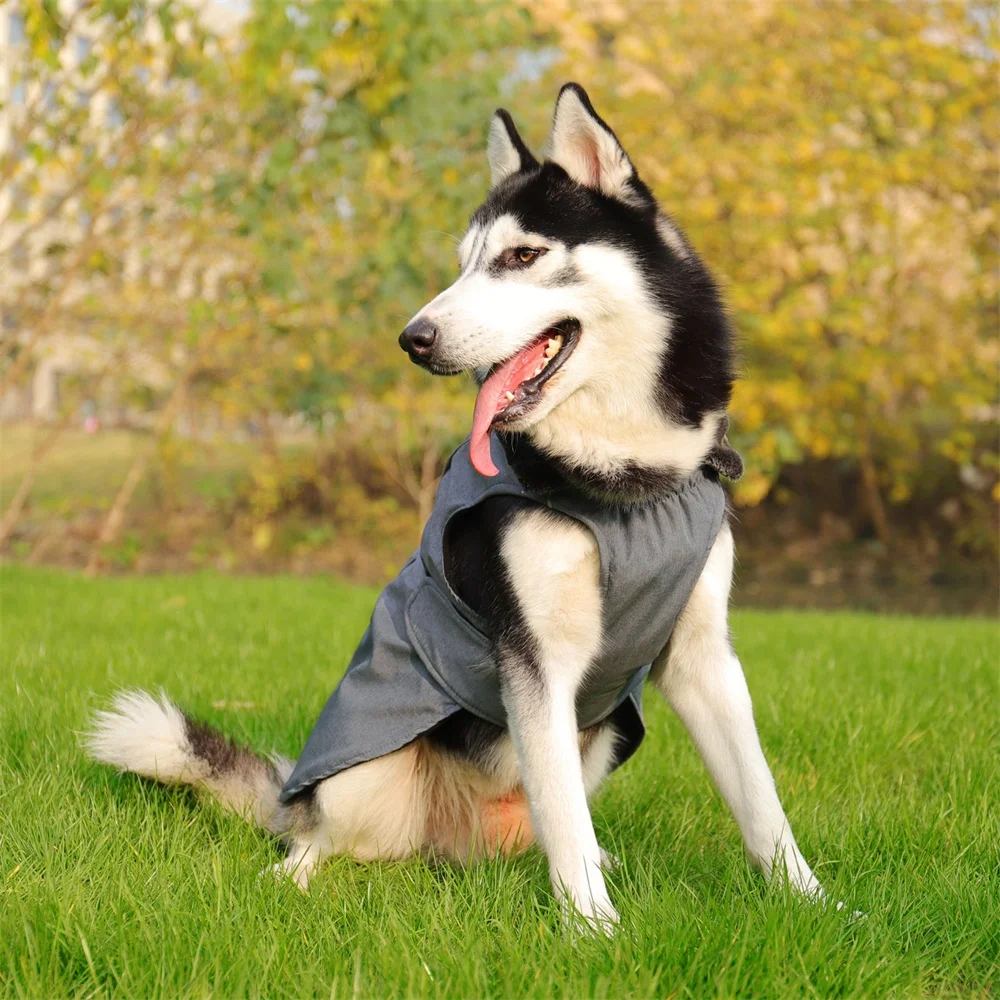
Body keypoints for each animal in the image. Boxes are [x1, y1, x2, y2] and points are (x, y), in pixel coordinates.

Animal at [90, 84, 828, 928]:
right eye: (464, 266)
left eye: (522, 256)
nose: (414, 337)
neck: (624, 478)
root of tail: (455, 841)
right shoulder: (537, 663)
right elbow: (568, 820)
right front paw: (595, 931)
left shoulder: (702, 658)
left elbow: (761, 802)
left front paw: (817, 906)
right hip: (365, 778)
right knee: (319, 828)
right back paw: (297, 870)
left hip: (608, 729)